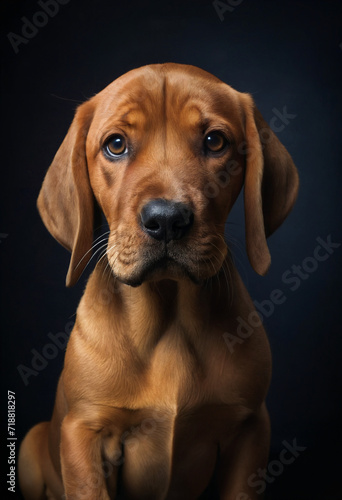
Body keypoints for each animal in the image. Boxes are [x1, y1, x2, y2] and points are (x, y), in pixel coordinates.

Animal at [18, 63, 298, 500]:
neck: (169, 318)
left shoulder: (251, 429)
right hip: (31, 444)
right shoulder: (83, 431)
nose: (166, 219)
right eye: (116, 144)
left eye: (215, 141)